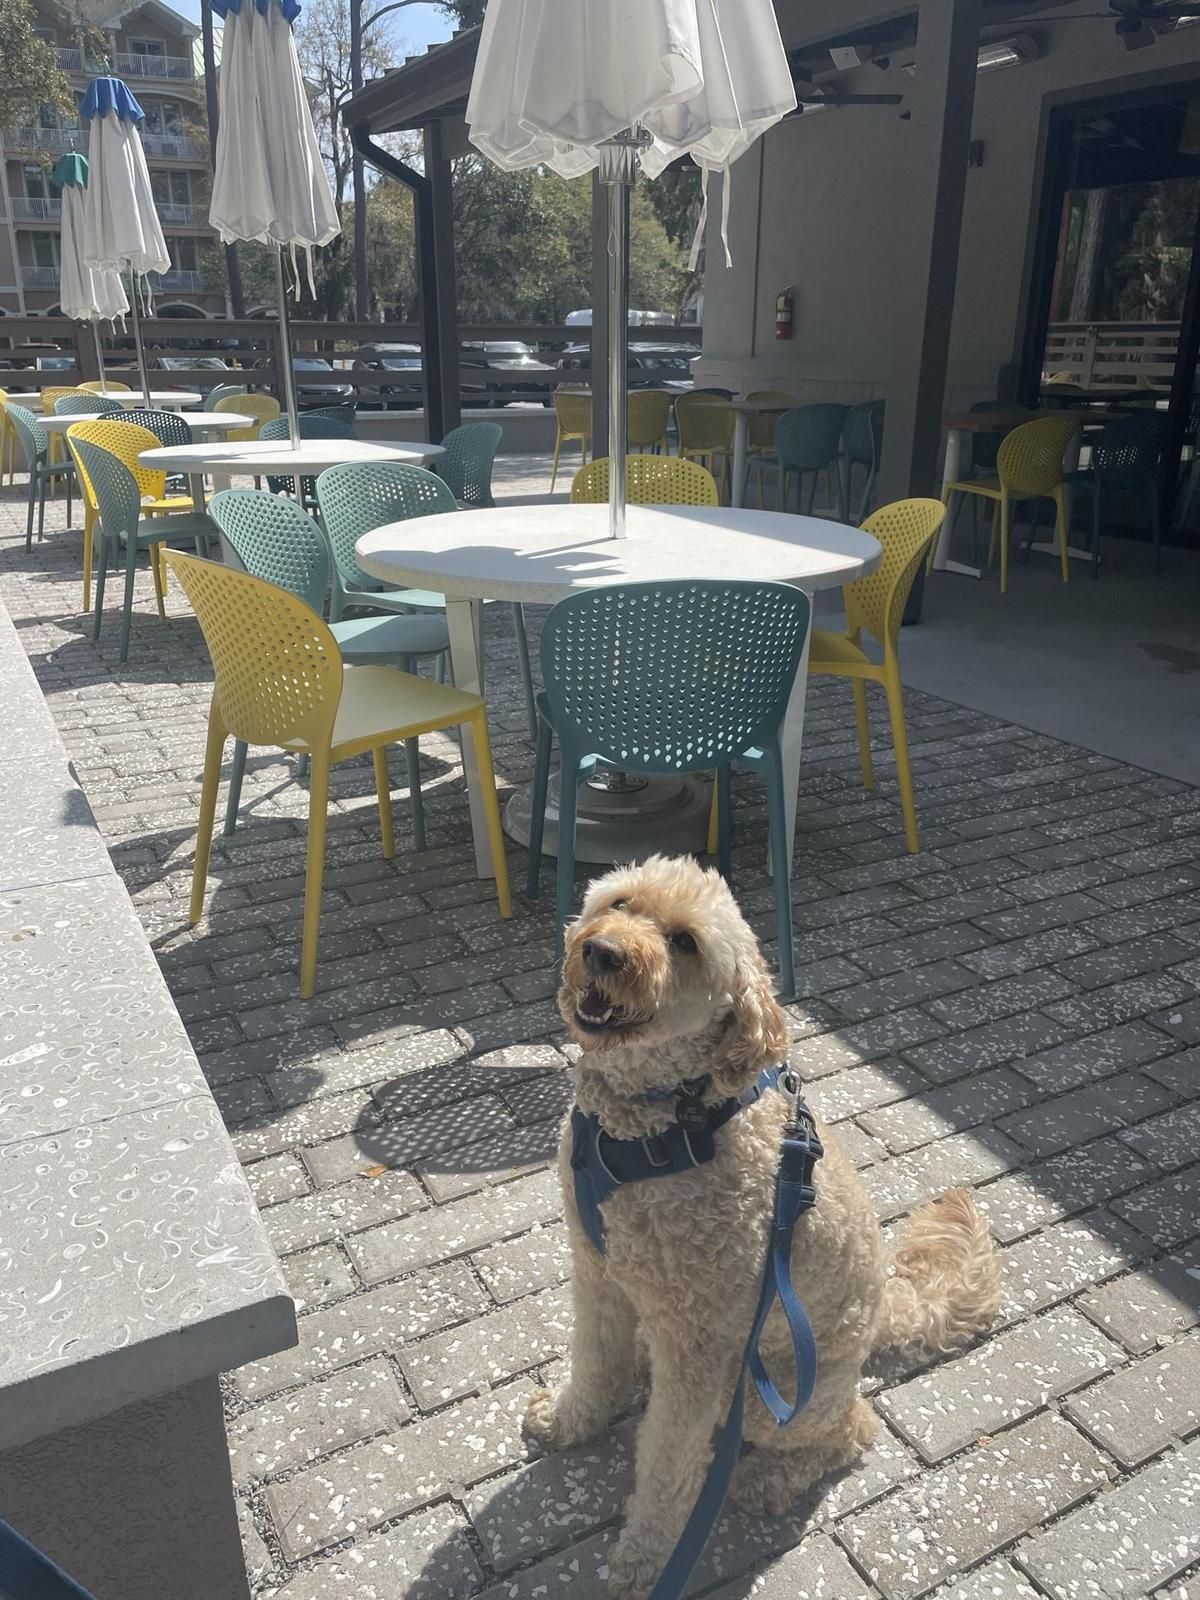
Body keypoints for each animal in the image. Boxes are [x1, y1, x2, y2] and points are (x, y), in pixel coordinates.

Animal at [524, 864, 1004, 1600]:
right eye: (620, 902)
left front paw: (644, 1559)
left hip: (761, 1394)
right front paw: (570, 1422)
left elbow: (668, 1464)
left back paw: (764, 1480)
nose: (600, 952)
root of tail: (884, 1314)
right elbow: (595, 1363)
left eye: (685, 942)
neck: (656, 1124)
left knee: (851, 1431)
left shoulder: (696, 1343)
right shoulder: (597, 1273)